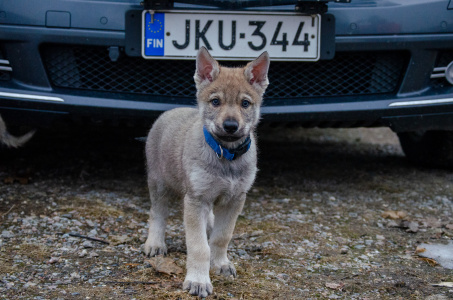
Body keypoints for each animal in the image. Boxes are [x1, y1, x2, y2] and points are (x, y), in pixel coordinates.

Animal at [143, 47, 268, 298]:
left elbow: (221, 237)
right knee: (157, 214)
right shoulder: (196, 200)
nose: (230, 126)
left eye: (245, 103)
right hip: (160, 185)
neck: (226, 156)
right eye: (215, 101)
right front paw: (198, 280)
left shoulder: (235, 199)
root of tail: (170, 111)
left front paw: (220, 264)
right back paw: (155, 243)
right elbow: (199, 246)